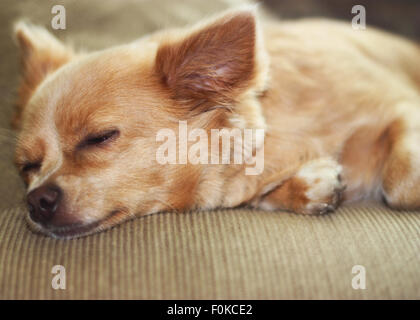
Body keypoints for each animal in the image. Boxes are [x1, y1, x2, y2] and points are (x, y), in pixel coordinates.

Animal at [12, 6, 420, 238]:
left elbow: (400, 181)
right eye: (28, 167)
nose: (36, 200)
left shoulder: (402, 106)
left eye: (99, 138)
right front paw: (308, 184)